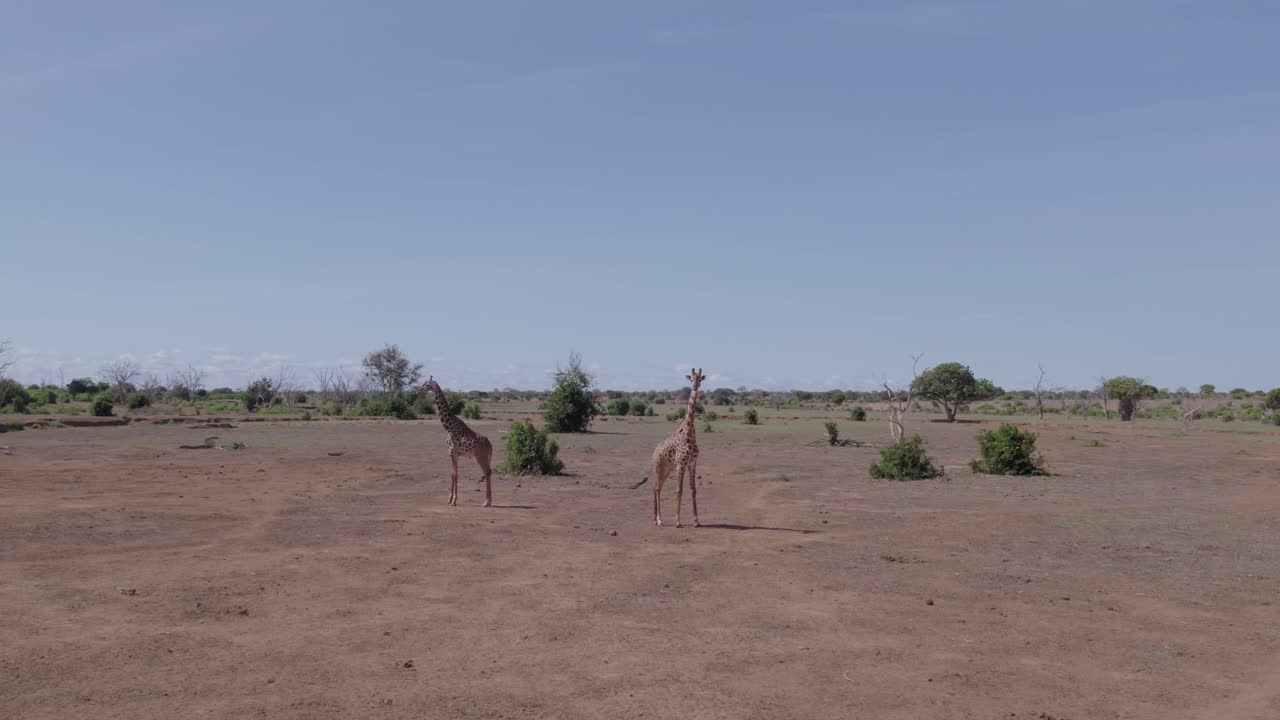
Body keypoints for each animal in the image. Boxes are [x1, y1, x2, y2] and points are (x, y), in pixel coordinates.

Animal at [422, 376, 494, 507]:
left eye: (427, 384)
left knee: (487, 472)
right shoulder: (455, 454)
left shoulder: (452, 452)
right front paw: (450, 499)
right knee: (488, 472)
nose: (418, 390)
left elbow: (455, 474)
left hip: (480, 456)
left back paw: (486, 502)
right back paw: (488, 501)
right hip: (484, 456)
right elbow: (453, 474)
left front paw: (454, 500)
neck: (448, 427)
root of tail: (490, 445)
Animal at [649, 368, 706, 527]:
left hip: (667, 468)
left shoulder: (692, 463)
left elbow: (693, 490)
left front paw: (696, 521)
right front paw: (678, 521)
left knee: (656, 486)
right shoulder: (681, 463)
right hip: (659, 467)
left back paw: (655, 518)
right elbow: (679, 490)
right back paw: (659, 519)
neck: (689, 432)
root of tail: (653, 454)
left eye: (700, 379)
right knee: (657, 487)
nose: (695, 387)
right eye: (691, 379)